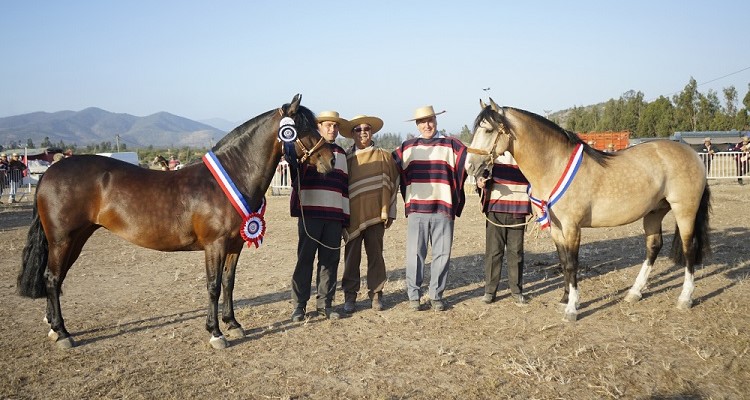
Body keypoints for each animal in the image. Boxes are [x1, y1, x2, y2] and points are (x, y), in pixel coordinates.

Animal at [16, 94, 334, 346]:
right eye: (301, 128)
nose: (329, 160)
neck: (230, 177)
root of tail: (50, 173)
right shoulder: (215, 246)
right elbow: (213, 286)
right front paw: (215, 333)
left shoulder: (234, 245)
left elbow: (229, 283)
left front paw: (233, 324)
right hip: (63, 239)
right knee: (52, 278)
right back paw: (63, 333)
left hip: (76, 238)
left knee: (55, 278)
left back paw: (54, 328)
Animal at [468, 99, 712, 322]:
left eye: (488, 130)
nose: (470, 167)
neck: (555, 165)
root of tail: (691, 153)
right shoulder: (557, 229)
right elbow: (563, 262)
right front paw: (565, 299)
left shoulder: (572, 227)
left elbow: (572, 263)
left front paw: (572, 309)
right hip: (654, 212)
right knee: (653, 246)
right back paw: (634, 293)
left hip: (685, 210)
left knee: (689, 248)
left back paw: (685, 298)